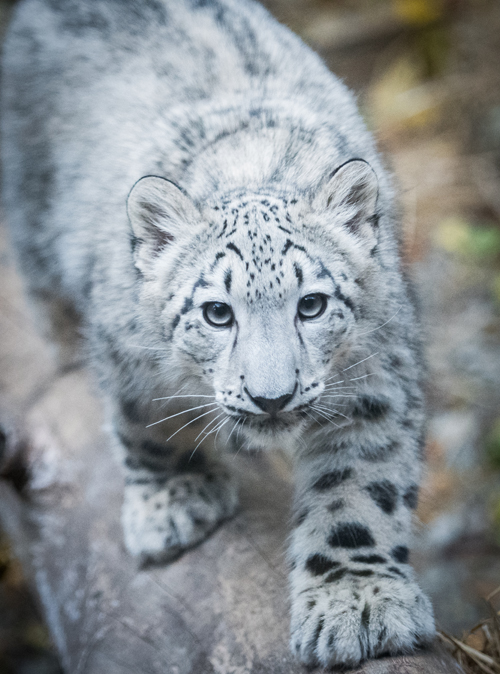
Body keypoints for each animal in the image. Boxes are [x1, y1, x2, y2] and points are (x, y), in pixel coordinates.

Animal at [1, 0, 434, 664]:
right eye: (217, 313)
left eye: (311, 305)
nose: (272, 397)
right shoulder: (130, 359)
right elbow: (148, 425)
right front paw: (175, 501)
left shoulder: (376, 380)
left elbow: (357, 490)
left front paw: (356, 601)